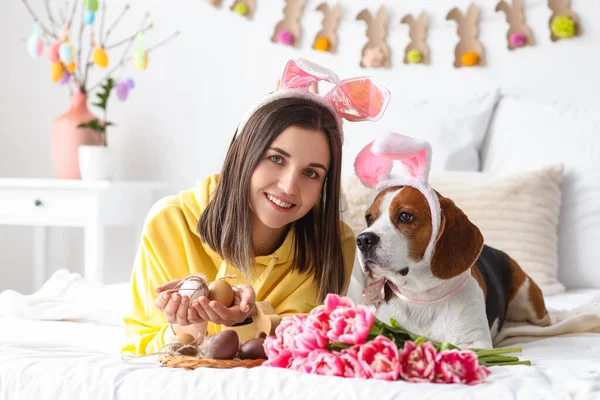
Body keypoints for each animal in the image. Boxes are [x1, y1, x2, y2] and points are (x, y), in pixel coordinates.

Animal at [354, 133, 552, 348]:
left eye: (405, 216)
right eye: (369, 218)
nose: (363, 240)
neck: (421, 296)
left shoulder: (475, 343)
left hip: (529, 301)